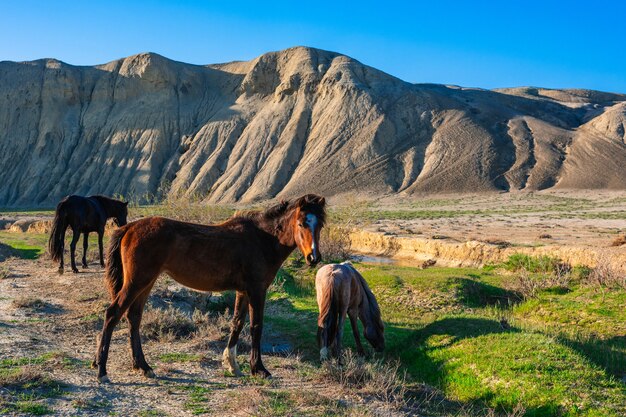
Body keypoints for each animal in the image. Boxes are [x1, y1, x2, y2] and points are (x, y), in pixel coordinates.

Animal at [94, 193, 326, 382]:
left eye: (320, 225)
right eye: (301, 223)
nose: (313, 258)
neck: (262, 240)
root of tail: (129, 228)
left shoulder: (243, 291)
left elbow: (237, 323)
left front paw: (232, 365)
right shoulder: (257, 290)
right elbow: (256, 326)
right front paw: (259, 369)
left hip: (146, 284)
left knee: (134, 318)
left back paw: (142, 366)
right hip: (137, 282)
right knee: (113, 314)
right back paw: (102, 371)